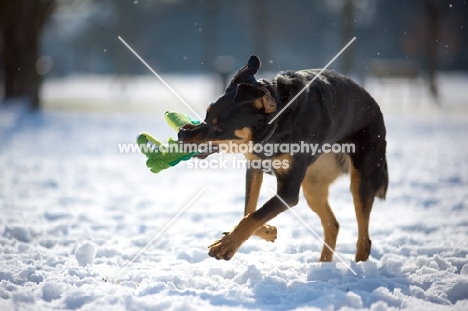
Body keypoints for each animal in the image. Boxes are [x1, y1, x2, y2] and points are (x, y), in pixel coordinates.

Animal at [179, 56, 388, 264]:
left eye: (219, 128)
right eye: (207, 114)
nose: (182, 133)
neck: (276, 123)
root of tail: (375, 106)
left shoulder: (288, 191)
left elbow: (254, 216)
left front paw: (225, 246)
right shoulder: (255, 166)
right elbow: (249, 211)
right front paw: (268, 231)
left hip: (362, 179)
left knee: (364, 238)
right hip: (313, 185)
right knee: (333, 225)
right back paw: (323, 265)